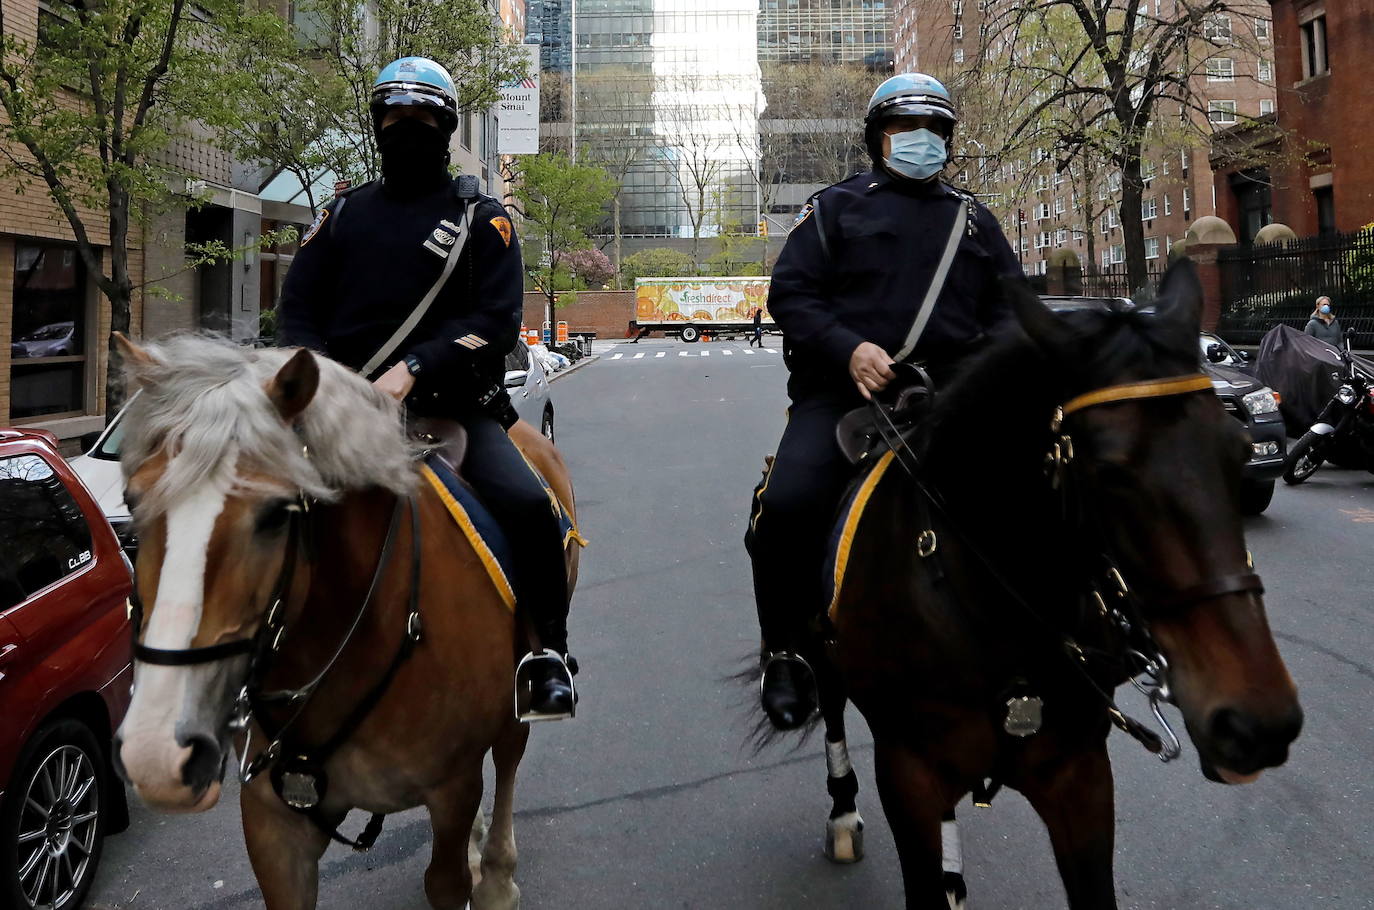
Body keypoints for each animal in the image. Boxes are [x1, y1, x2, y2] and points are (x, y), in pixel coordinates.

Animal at [109, 336, 577, 910]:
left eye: (276, 514)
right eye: (132, 501)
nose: (155, 754)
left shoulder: (452, 789)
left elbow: (446, 876)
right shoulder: (273, 825)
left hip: (521, 683)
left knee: (510, 756)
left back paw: (496, 879)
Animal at [785, 259, 1297, 907]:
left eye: (1236, 452)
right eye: (1108, 472)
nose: (1258, 722)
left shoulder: (1079, 777)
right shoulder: (908, 775)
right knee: (828, 704)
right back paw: (843, 814)